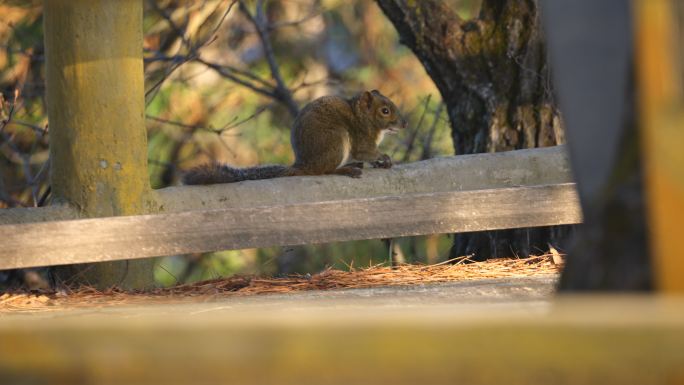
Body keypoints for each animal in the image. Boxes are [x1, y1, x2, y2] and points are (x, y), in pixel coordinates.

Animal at [183, 89, 406, 184]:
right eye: (385, 111)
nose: (404, 124)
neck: (362, 117)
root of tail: (302, 165)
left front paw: (381, 162)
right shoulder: (361, 139)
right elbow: (365, 152)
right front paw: (383, 157)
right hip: (336, 142)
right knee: (323, 171)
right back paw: (346, 169)